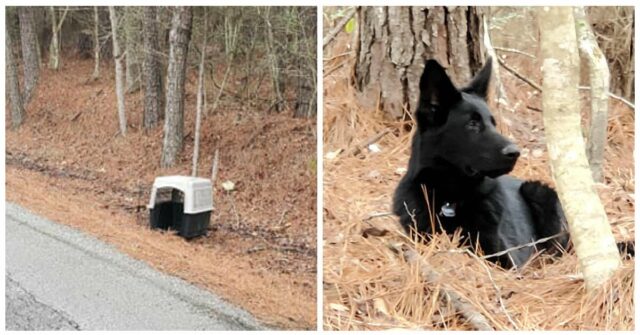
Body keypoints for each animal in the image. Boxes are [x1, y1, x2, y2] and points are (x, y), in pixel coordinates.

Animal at [392, 57, 572, 268]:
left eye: (493, 123)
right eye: (472, 124)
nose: (515, 152)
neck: (450, 200)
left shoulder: (507, 257)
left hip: (538, 191)